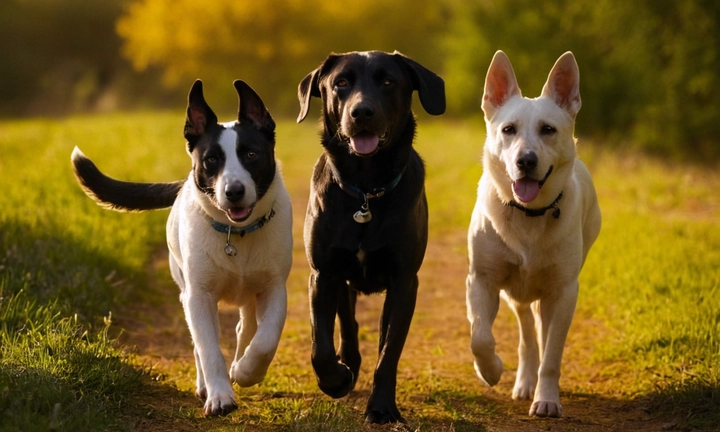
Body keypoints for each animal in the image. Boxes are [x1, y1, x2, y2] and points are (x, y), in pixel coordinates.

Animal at [69, 80, 290, 416]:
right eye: (211, 160)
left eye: (251, 154)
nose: (234, 191)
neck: (236, 234)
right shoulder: (199, 296)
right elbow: (208, 348)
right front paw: (220, 396)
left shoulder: (274, 287)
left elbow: (265, 340)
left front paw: (245, 372)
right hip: (186, 288)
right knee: (203, 342)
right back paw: (206, 386)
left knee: (247, 325)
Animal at [296, 49, 444, 422]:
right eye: (341, 83)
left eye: (388, 81)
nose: (361, 111)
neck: (365, 189)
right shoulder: (323, 274)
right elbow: (321, 346)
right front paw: (336, 380)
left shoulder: (404, 282)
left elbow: (389, 353)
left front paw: (382, 408)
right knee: (347, 324)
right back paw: (348, 365)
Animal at [464, 51, 600, 418]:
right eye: (508, 129)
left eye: (548, 129)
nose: (526, 161)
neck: (528, 214)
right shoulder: (481, 280)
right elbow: (480, 337)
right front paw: (490, 370)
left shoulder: (564, 292)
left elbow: (552, 353)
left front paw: (547, 399)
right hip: (516, 293)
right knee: (526, 334)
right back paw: (524, 381)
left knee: (540, 333)